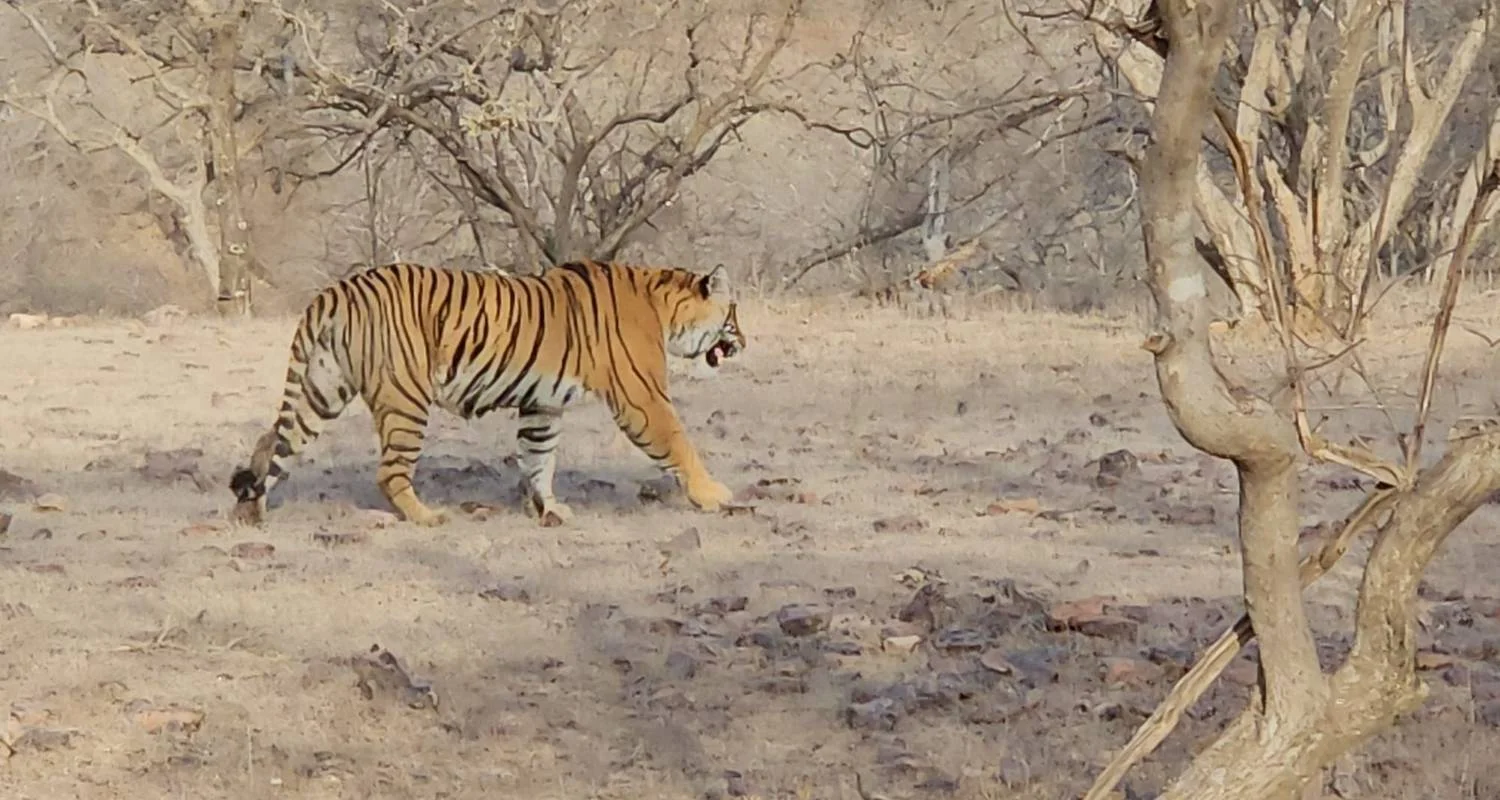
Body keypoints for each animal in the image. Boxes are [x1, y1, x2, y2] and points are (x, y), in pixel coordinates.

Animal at [228, 259, 746, 528]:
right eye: (733, 314)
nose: (743, 340)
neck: (663, 305)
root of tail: (336, 291)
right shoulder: (642, 398)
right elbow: (679, 444)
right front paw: (714, 495)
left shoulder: (542, 405)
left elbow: (539, 459)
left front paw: (549, 509)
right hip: (405, 400)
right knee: (389, 472)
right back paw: (428, 516)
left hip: (323, 389)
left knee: (273, 442)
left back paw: (251, 510)